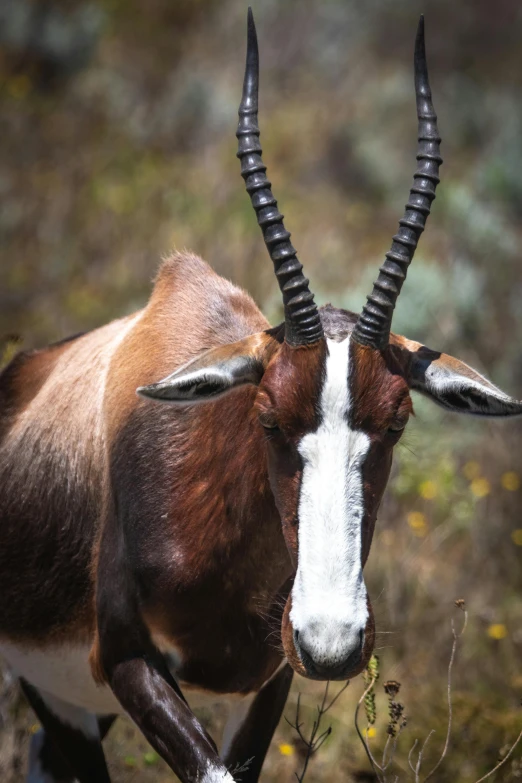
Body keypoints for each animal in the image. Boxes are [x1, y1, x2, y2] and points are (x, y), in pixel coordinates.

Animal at [1, 10, 520, 783]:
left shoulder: (269, 678)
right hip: (60, 690)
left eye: (398, 421)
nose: (331, 640)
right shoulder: (124, 660)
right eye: (270, 418)